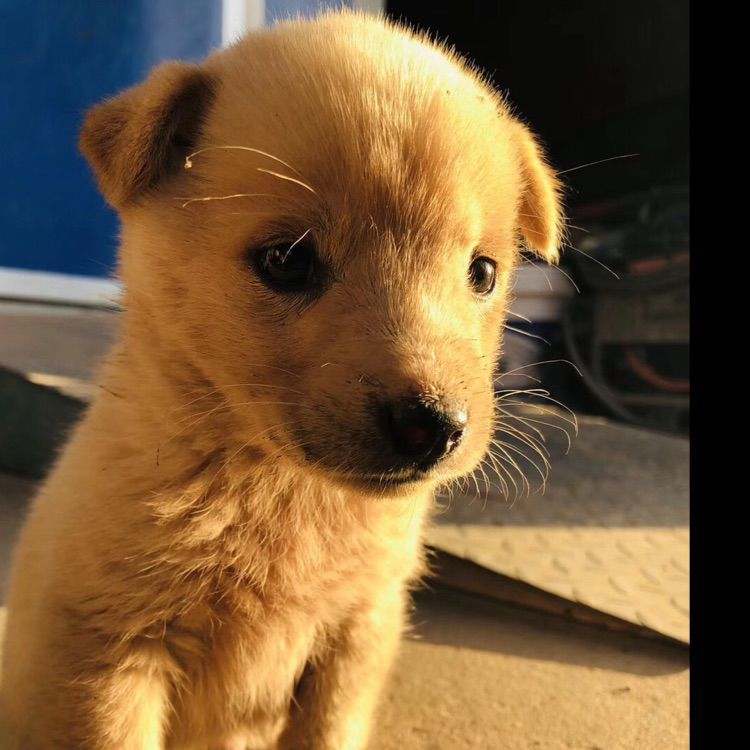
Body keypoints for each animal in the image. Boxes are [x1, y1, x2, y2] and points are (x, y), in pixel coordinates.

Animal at [0, 10, 562, 749]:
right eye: (287, 261)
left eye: (483, 272)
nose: (436, 427)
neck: (284, 494)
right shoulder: (111, 649)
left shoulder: (357, 635)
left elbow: (329, 729)